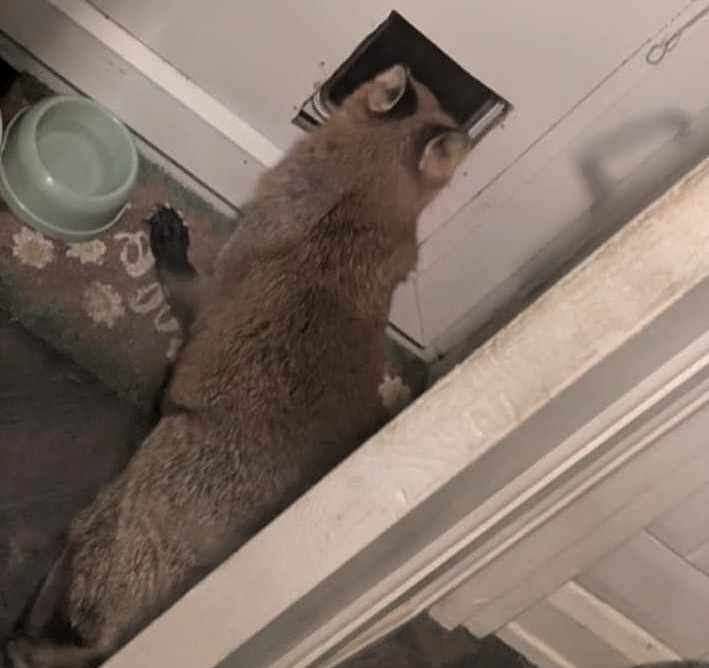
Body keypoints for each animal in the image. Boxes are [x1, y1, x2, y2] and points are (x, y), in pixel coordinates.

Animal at [6, 64, 470, 668]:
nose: (408, 65)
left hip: (126, 491)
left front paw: (170, 242)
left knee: (78, 589)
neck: (354, 206)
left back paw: (31, 622)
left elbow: (183, 282)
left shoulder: (214, 292)